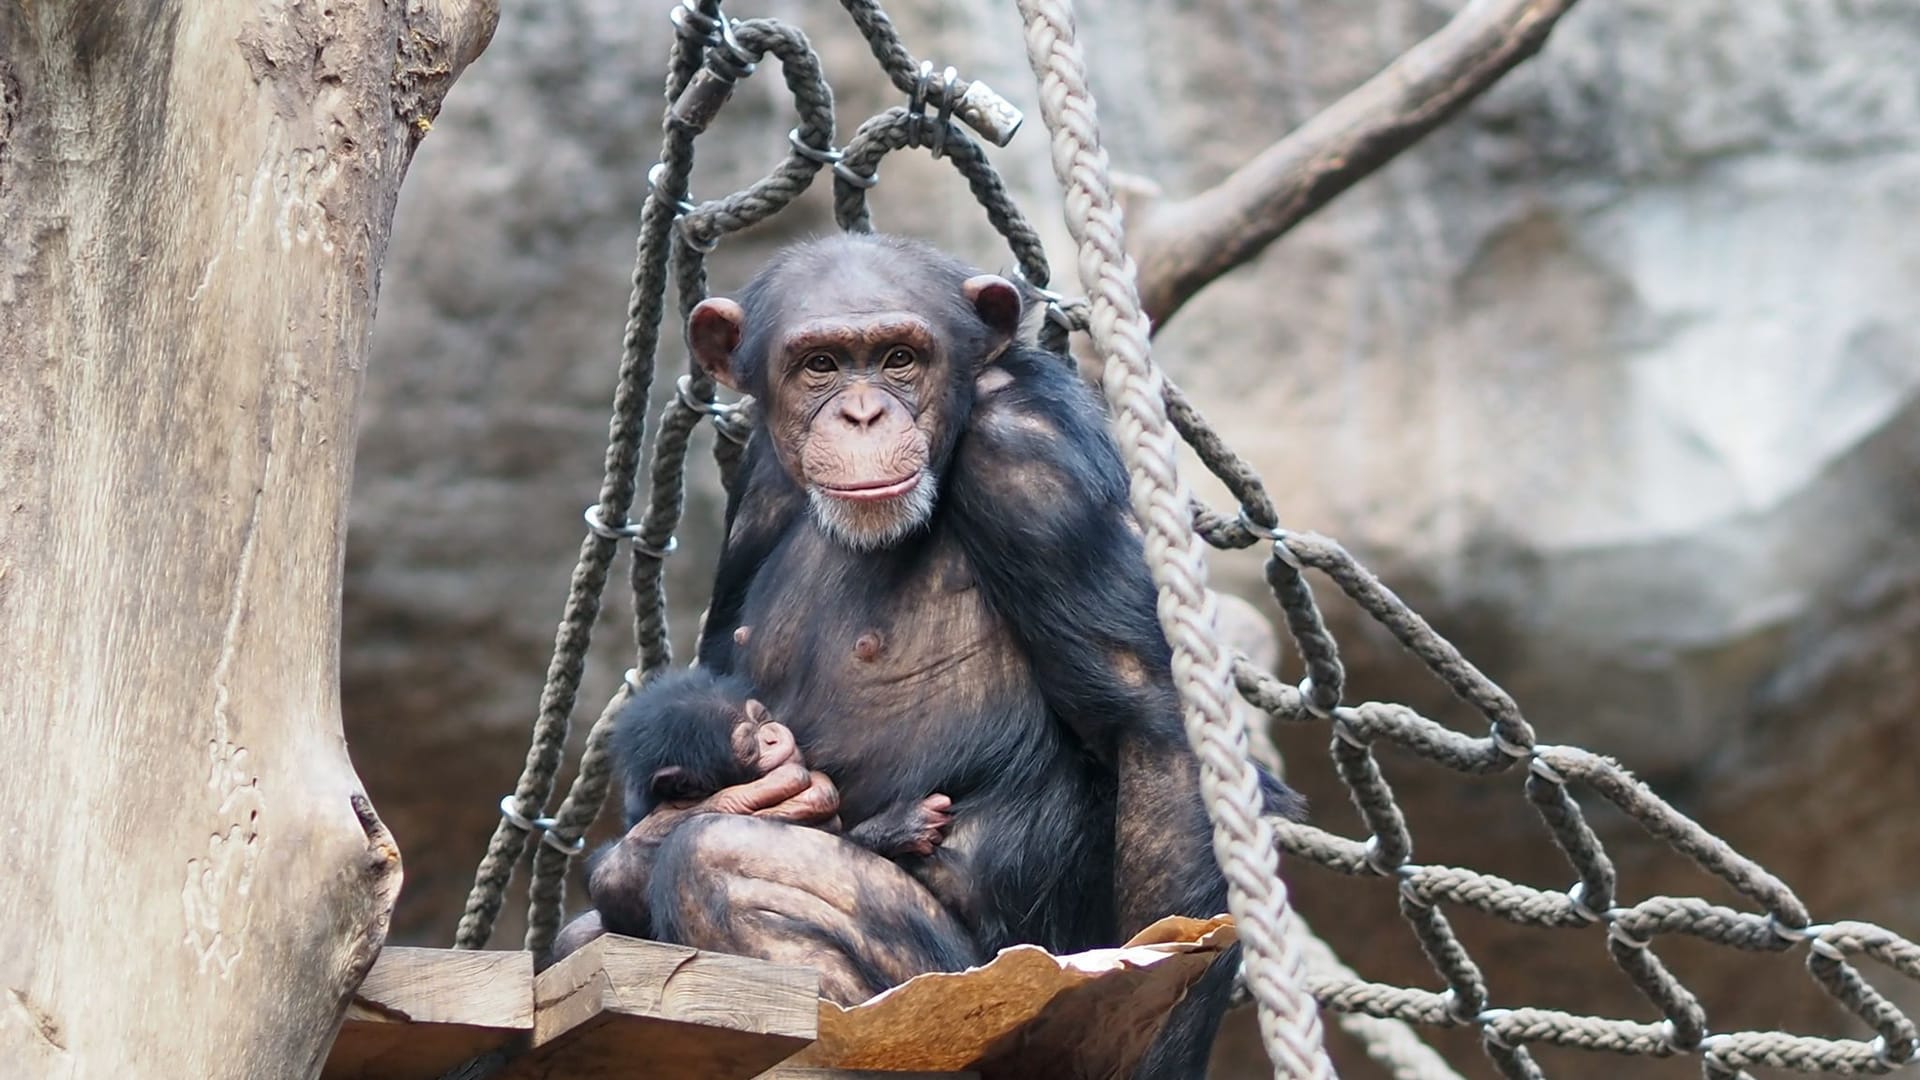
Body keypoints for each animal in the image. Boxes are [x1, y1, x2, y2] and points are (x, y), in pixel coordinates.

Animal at [560, 231, 1297, 1068]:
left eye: (899, 358)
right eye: (820, 364)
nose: (862, 412)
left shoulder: (1029, 458)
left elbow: (1154, 723)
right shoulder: (759, 481)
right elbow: (708, 679)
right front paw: (646, 839)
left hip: (977, 984)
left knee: (722, 861)